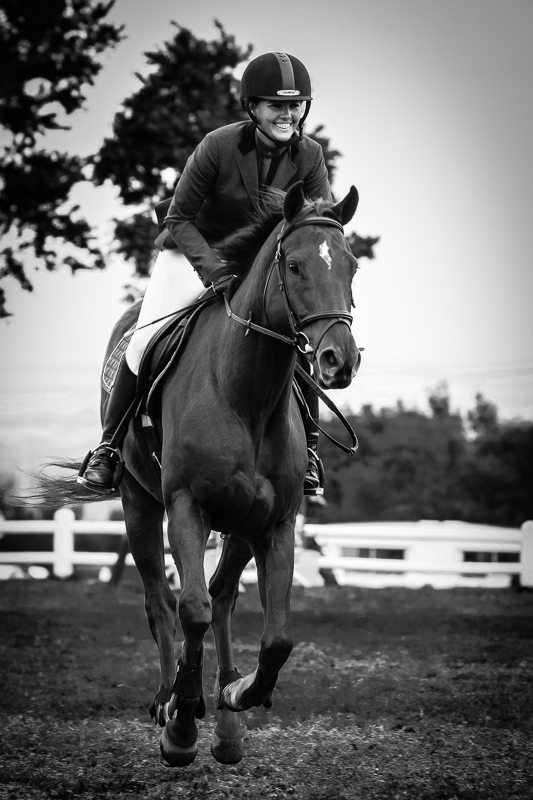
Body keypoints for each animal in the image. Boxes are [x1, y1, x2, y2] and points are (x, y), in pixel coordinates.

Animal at [41, 183, 360, 768]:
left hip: (239, 522)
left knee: (224, 596)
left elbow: (275, 637)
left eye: (351, 266)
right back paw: (168, 699)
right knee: (161, 602)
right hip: (139, 505)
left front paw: (237, 694)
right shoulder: (186, 505)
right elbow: (191, 609)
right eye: (295, 266)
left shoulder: (275, 522)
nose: (337, 362)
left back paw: (228, 717)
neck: (246, 393)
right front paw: (182, 722)